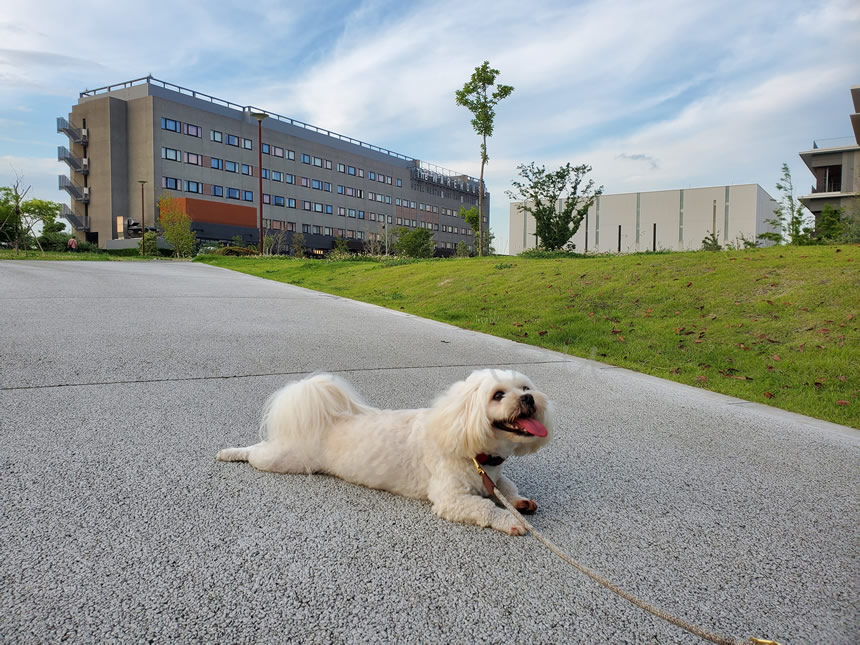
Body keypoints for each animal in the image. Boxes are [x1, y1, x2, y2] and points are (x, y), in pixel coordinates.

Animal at [214, 368, 552, 532]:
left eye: (525, 388)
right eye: (498, 395)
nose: (529, 399)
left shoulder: (493, 477)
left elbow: (506, 487)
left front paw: (519, 502)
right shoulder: (451, 499)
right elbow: (486, 507)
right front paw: (510, 520)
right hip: (282, 459)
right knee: (256, 452)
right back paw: (231, 452)